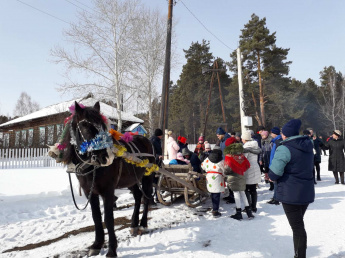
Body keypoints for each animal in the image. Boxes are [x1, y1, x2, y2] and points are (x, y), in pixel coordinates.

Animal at [61, 102, 154, 256]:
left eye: (103, 126)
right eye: (85, 126)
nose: (105, 157)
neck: (92, 167)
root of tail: (145, 139)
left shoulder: (108, 191)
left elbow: (108, 218)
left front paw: (111, 249)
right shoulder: (90, 192)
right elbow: (96, 217)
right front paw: (97, 244)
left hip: (147, 176)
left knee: (146, 198)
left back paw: (143, 224)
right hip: (131, 180)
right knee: (137, 196)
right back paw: (134, 224)